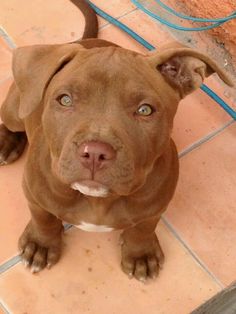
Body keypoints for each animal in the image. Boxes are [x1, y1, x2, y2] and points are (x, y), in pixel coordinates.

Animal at [0, 0, 232, 280]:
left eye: (145, 110)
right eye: (65, 99)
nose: (94, 153)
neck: (98, 200)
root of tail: (82, 40)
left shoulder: (156, 205)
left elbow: (144, 227)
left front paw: (140, 253)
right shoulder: (33, 193)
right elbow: (43, 217)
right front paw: (41, 244)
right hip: (16, 108)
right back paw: (7, 143)